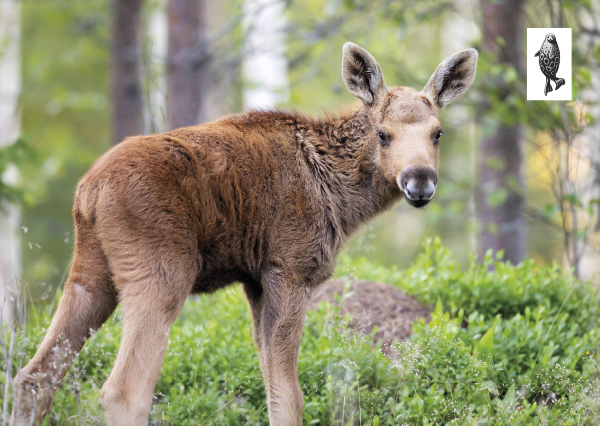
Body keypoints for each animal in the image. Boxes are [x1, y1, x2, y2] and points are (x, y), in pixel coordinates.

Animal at [11, 43, 476, 426]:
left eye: (438, 133)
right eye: (383, 134)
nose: (420, 181)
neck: (341, 198)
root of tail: (89, 191)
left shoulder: (254, 280)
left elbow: (272, 389)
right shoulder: (290, 268)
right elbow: (291, 397)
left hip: (92, 273)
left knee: (33, 377)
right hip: (161, 271)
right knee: (125, 391)